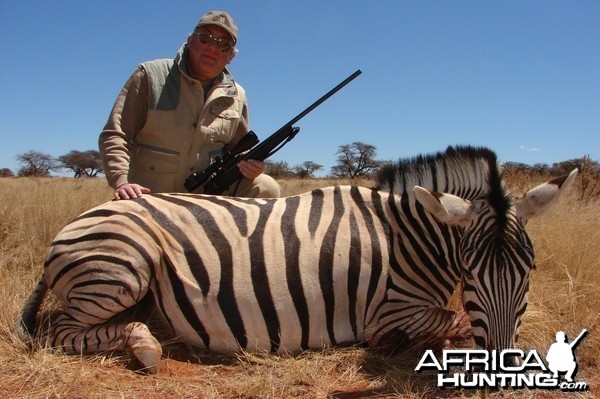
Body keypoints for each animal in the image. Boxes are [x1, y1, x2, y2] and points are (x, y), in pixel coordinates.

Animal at [15, 145, 576, 374]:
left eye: (529, 272)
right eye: (472, 275)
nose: (500, 369)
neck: (409, 236)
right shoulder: (390, 309)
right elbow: (452, 319)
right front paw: (398, 343)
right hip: (122, 266)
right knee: (59, 332)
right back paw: (145, 345)